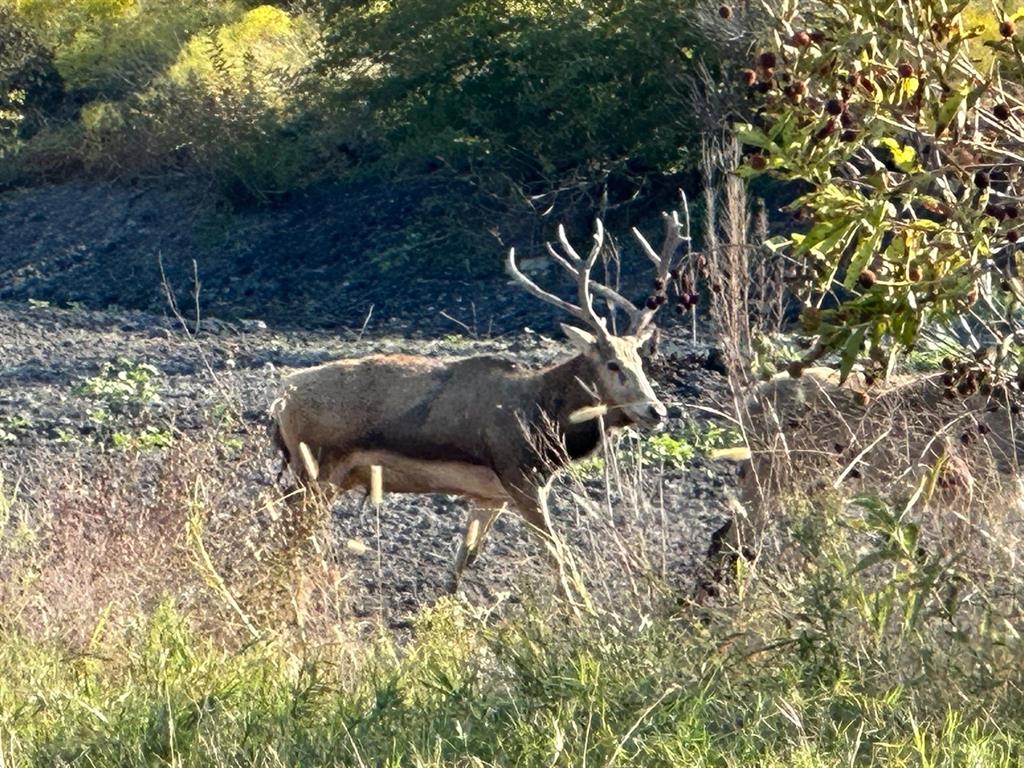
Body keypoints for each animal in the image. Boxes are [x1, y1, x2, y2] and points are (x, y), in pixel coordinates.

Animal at [272, 214, 688, 598]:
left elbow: (465, 557)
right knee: (289, 538)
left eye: (641, 361)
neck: (541, 420)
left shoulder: (491, 494)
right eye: (613, 365)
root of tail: (280, 401)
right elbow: (558, 555)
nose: (656, 411)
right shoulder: (521, 477)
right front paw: (582, 611)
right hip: (318, 469)